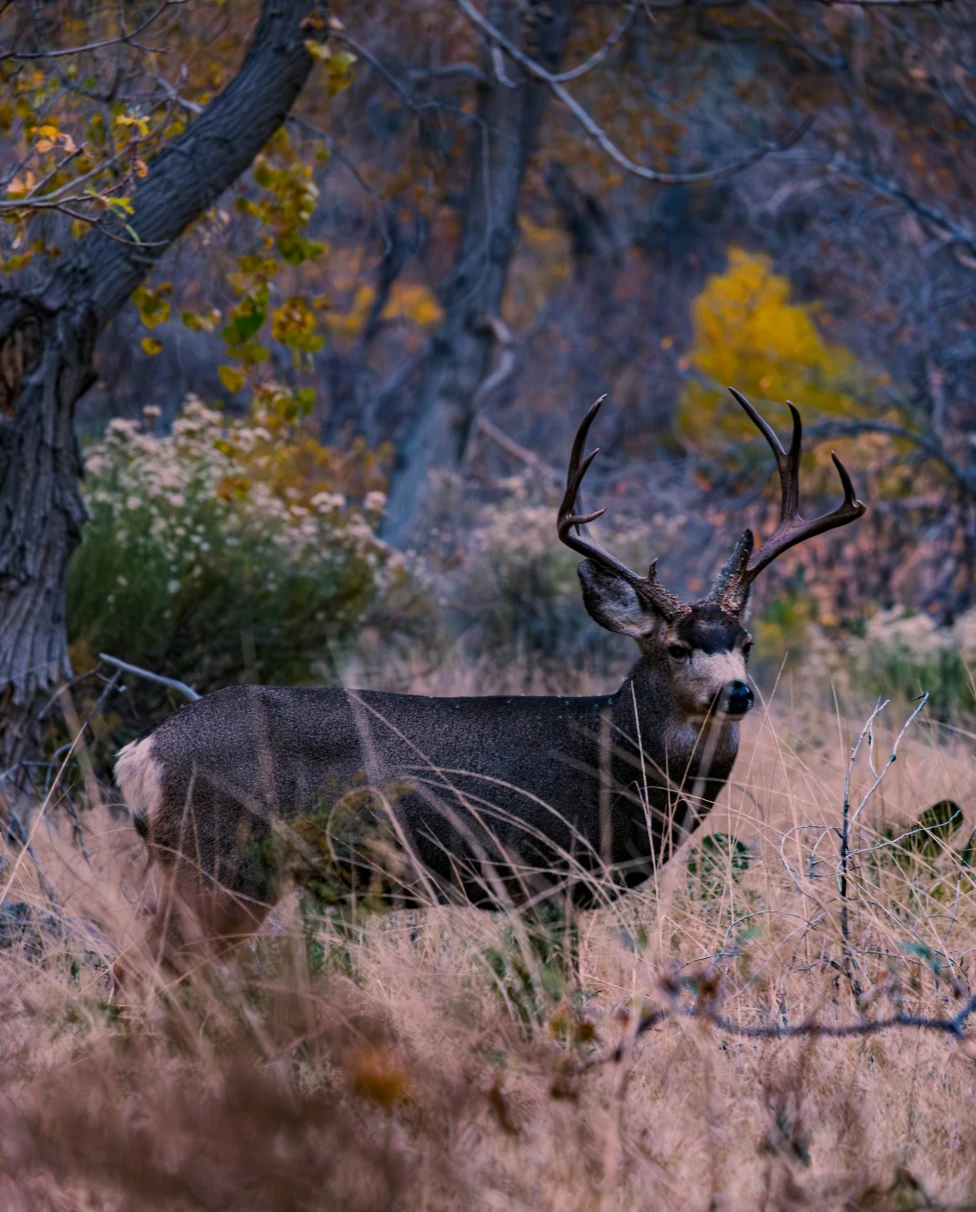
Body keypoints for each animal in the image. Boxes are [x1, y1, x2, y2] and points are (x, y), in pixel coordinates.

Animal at [112, 388, 865, 991]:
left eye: (746, 643)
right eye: (677, 648)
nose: (737, 694)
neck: (613, 760)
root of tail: (140, 753)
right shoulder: (545, 880)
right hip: (221, 861)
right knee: (152, 966)